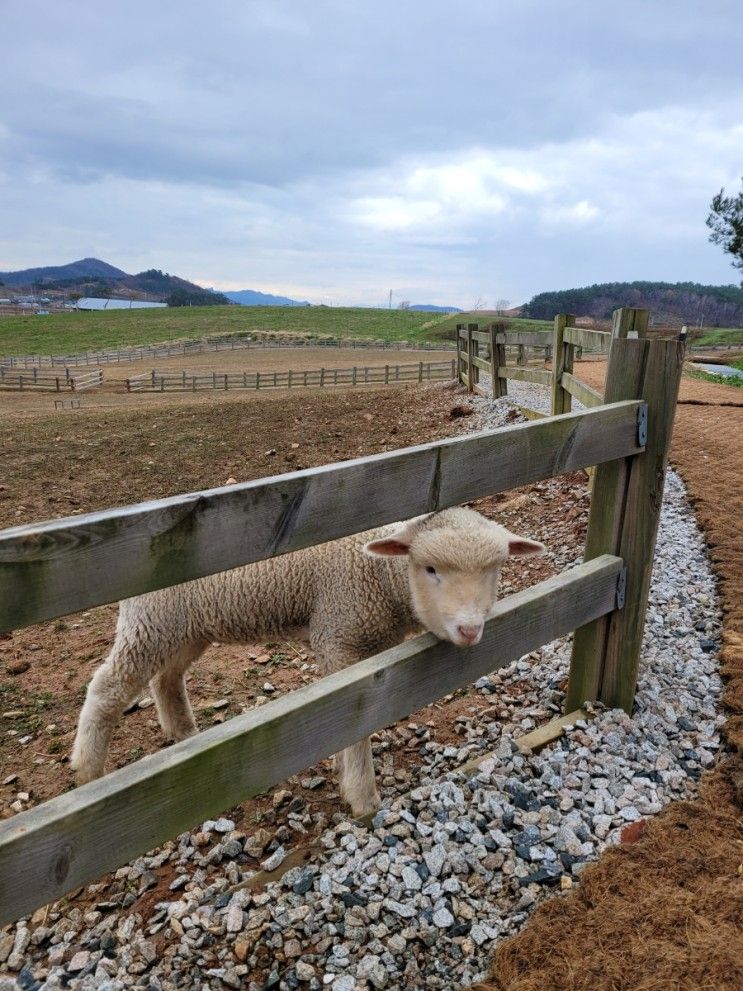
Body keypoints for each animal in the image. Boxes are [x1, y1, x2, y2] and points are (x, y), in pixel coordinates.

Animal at [72, 508, 544, 816]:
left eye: (495, 570)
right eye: (430, 569)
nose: (469, 630)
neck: (381, 576)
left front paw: (340, 766)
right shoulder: (339, 638)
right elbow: (354, 727)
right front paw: (362, 797)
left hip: (188, 627)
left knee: (166, 679)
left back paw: (184, 734)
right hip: (151, 621)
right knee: (107, 687)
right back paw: (88, 772)